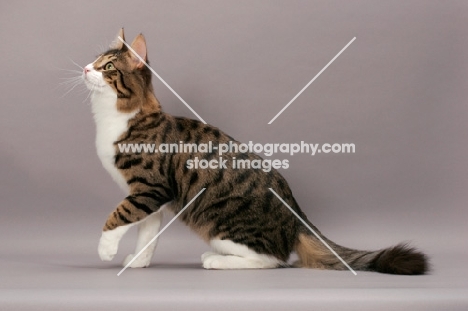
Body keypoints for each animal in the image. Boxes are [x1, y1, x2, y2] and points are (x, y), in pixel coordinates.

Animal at [83, 28, 428, 274]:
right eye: (96, 60)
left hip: (217, 222)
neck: (116, 118)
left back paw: (216, 260)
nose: (86, 69)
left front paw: (105, 249)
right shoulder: (153, 199)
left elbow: (119, 215)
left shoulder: (149, 189)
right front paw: (137, 261)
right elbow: (147, 235)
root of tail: (296, 212)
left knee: (274, 259)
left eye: (108, 66)